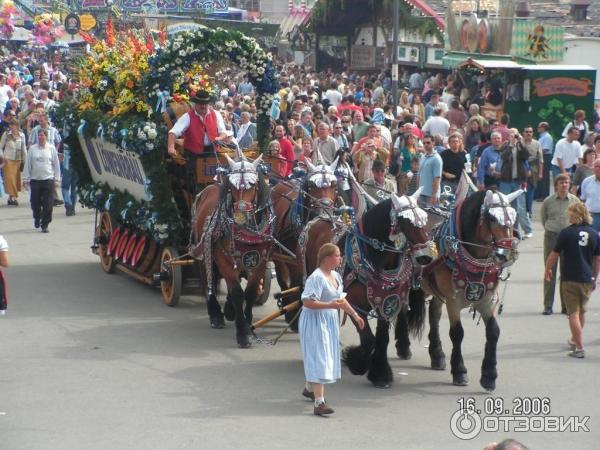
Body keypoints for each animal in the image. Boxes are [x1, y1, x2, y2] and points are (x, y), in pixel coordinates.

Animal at [191, 155, 274, 348]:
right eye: (232, 187)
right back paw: (215, 314)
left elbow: (250, 292)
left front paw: (248, 324)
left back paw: (229, 310)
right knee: (208, 278)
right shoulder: (223, 259)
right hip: (204, 250)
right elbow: (237, 293)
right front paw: (242, 333)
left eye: (253, 185)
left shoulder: (260, 261)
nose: (240, 215)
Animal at [300, 188, 436, 388]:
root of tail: (321, 217)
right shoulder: (354, 305)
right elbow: (368, 339)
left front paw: (380, 374)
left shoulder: (387, 304)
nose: (426, 257)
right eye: (405, 221)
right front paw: (357, 361)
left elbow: (382, 338)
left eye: (424, 219)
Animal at [396, 188, 524, 392]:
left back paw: (437, 355)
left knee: (434, 315)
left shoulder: (487, 299)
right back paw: (403, 346)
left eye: (514, 216)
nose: (509, 253)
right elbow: (457, 333)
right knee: (402, 310)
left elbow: (493, 332)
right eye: (492, 218)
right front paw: (460, 372)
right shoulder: (453, 300)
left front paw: (489, 376)